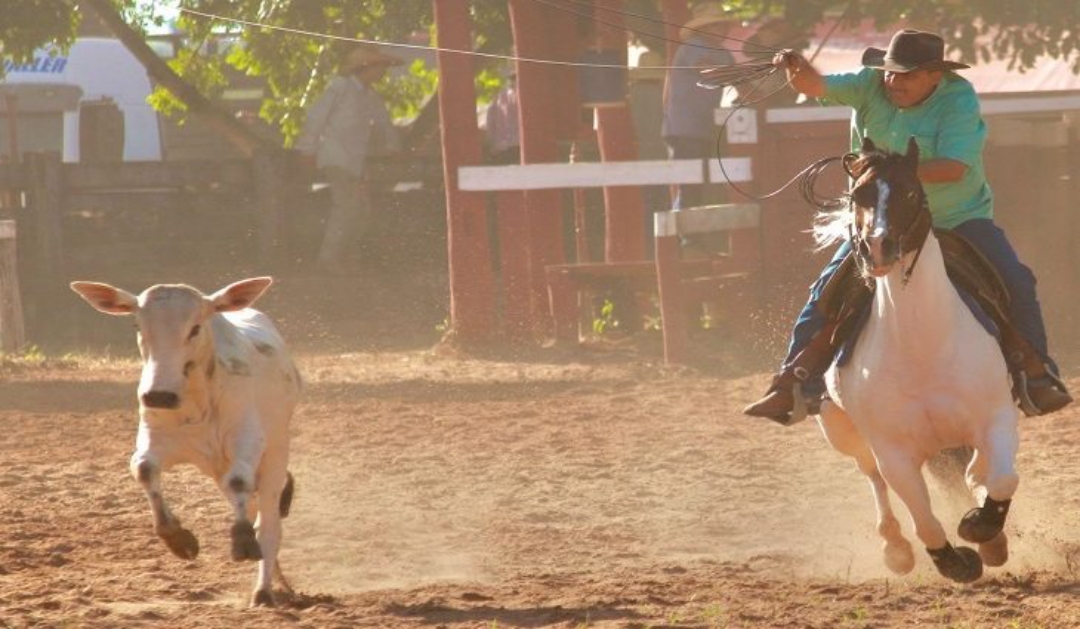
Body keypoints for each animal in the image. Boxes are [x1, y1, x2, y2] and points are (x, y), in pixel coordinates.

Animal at [70, 278, 300, 609]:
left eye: (195, 327)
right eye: (138, 325)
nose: (159, 395)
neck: (199, 399)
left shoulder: (247, 440)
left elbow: (240, 482)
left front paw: (242, 541)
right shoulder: (156, 436)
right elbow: (143, 468)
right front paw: (178, 538)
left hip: (275, 454)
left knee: (268, 522)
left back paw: (264, 590)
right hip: (217, 467)